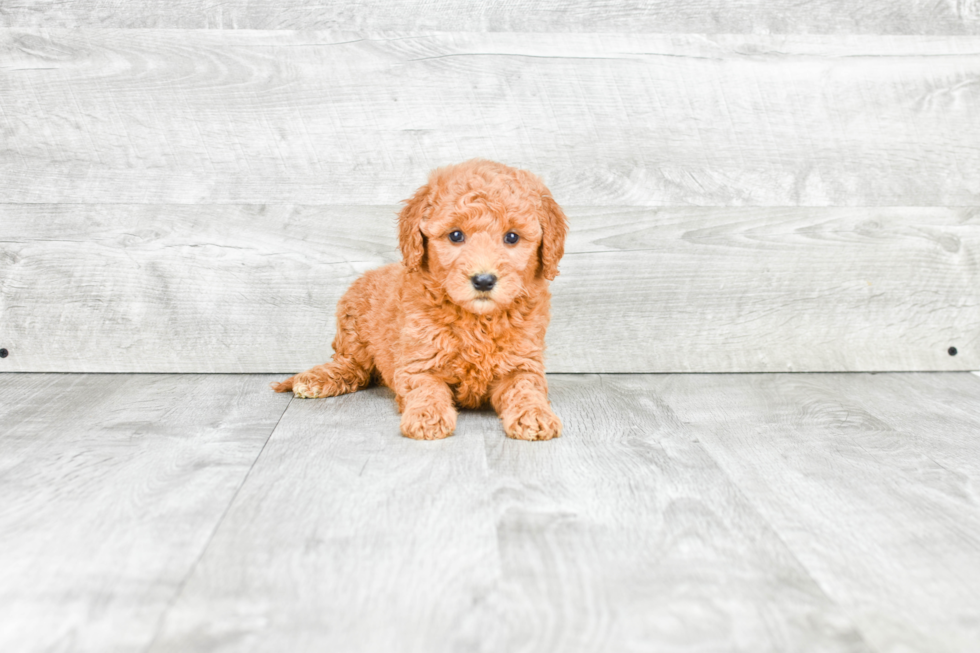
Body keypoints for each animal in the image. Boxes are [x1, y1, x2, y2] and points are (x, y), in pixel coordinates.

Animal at [272, 160, 572, 440]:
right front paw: (428, 416)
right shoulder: (419, 362)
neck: (476, 321)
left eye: (512, 237)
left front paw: (534, 415)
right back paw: (316, 379)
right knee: (352, 366)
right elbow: (426, 388)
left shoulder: (523, 363)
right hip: (352, 330)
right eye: (455, 235)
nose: (484, 280)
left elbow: (526, 389)